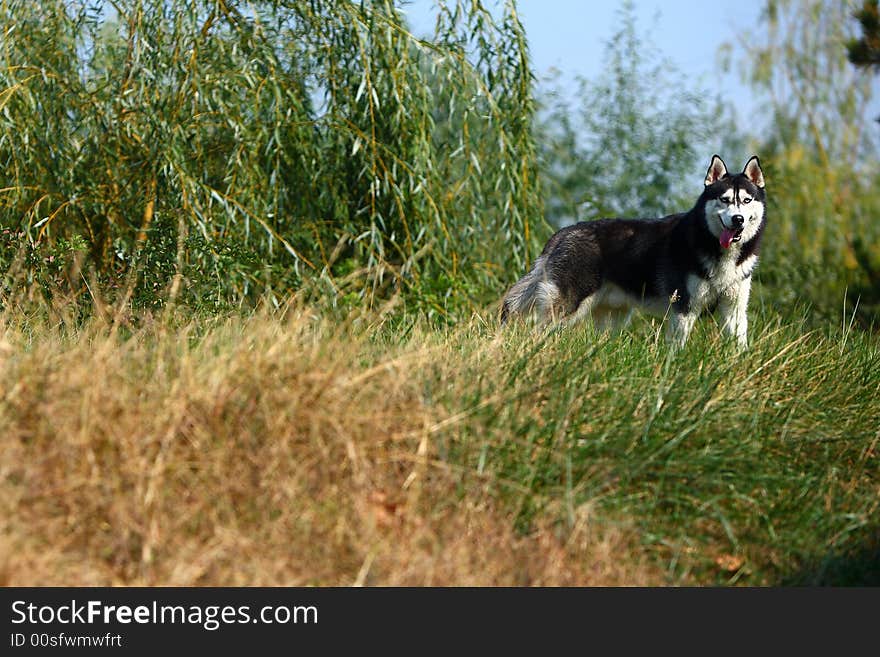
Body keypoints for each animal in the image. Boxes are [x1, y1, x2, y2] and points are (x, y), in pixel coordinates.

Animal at [502, 154, 764, 348]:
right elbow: (677, 348)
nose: (738, 219)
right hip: (565, 310)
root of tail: (563, 234)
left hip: (611, 318)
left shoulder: (734, 309)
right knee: (537, 332)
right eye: (724, 200)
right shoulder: (684, 308)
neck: (716, 247)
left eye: (747, 200)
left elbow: (739, 346)